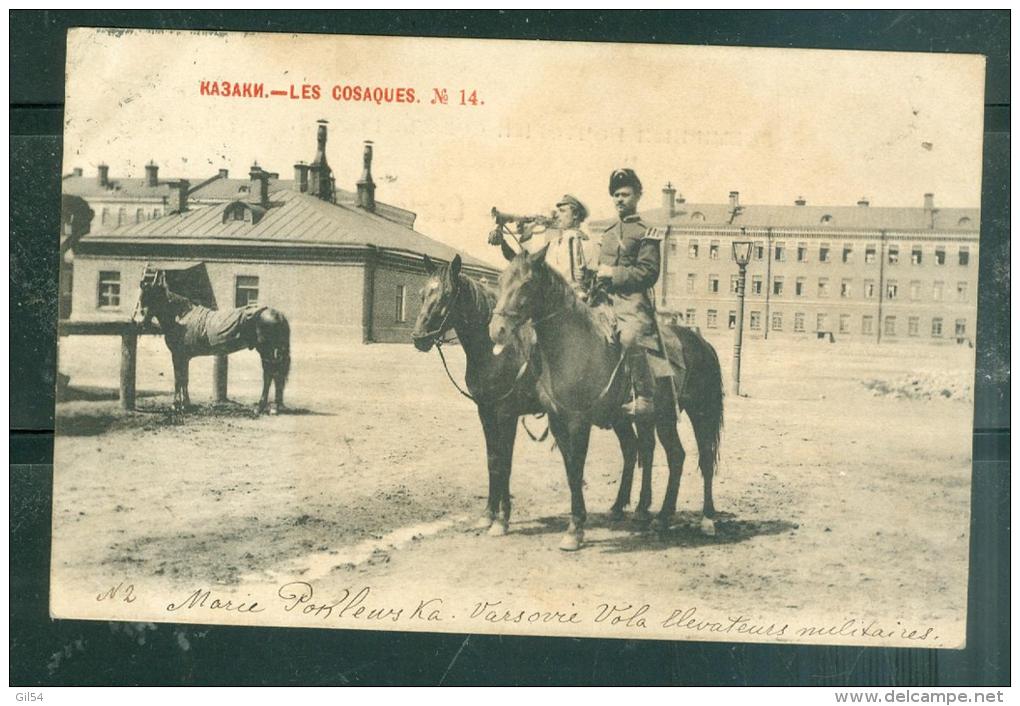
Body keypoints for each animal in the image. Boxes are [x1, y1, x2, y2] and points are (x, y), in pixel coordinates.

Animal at [136, 267, 291, 416]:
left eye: (153, 296)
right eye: (142, 297)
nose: (140, 321)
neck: (181, 318)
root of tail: (278, 314)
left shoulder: (177, 355)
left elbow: (178, 379)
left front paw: (176, 405)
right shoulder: (184, 357)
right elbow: (184, 379)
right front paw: (186, 405)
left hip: (267, 351)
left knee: (270, 375)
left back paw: (263, 408)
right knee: (275, 375)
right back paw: (272, 407)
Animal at [410, 254, 640, 534]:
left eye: (446, 294)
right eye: (422, 294)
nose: (419, 338)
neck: (495, 352)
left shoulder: (506, 413)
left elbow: (505, 462)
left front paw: (502, 519)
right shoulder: (485, 412)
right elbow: (493, 461)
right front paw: (488, 514)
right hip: (617, 414)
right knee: (630, 448)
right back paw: (618, 507)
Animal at [487, 246, 722, 550]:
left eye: (526, 283)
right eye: (501, 279)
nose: (497, 330)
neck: (572, 343)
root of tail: (701, 342)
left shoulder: (578, 422)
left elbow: (577, 467)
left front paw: (575, 529)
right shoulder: (557, 421)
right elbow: (570, 470)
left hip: (700, 413)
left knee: (704, 457)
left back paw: (706, 520)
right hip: (663, 416)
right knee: (675, 456)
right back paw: (660, 516)